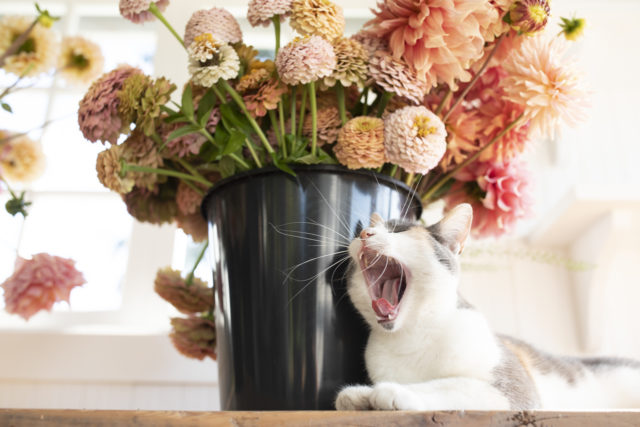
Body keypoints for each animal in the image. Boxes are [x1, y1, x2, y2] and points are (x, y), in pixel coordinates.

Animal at [336, 204, 640, 412]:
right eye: (362, 232)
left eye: (400, 230)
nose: (364, 232)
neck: (409, 337)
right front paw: (359, 395)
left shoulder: (515, 391)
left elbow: (454, 384)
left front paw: (395, 391)